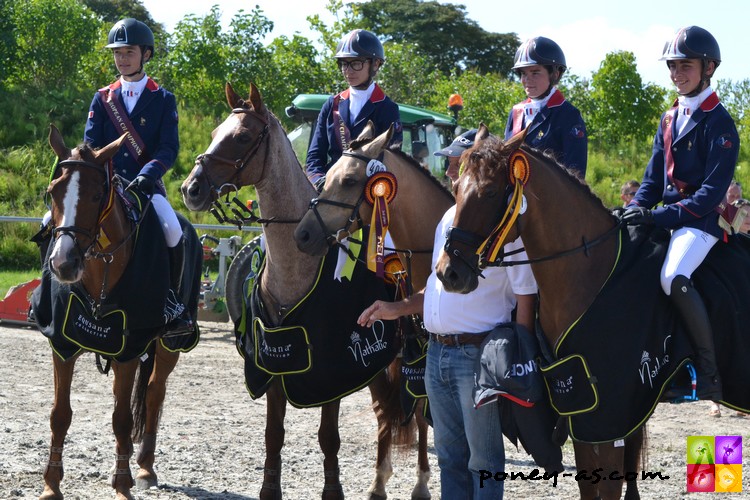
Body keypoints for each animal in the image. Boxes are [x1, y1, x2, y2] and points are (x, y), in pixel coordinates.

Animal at [34, 124, 203, 500]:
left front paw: (123, 486)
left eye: (98, 195)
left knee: (154, 393)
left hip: (170, 343)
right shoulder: (62, 345)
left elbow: (123, 419)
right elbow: (59, 414)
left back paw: (145, 468)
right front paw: (51, 485)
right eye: (53, 192)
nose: (63, 264)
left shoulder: (130, 349)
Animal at [180, 83, 432, 500]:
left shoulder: (335, 368)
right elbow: (273, 433)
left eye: (243, 137)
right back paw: (378, 484)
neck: (296, 268)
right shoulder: (275, 362)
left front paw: (333, 490)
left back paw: (422, 483)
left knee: (423, 411)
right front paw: (270, 489)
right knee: (385, 414)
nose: (191, 189)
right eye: (215, 132)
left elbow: (329, 435)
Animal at [434, 128, 652, 500]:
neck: (589, 273)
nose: (449, 273)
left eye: (490, 192)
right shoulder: (579, 408)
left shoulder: (609, 412)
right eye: (457, 186)